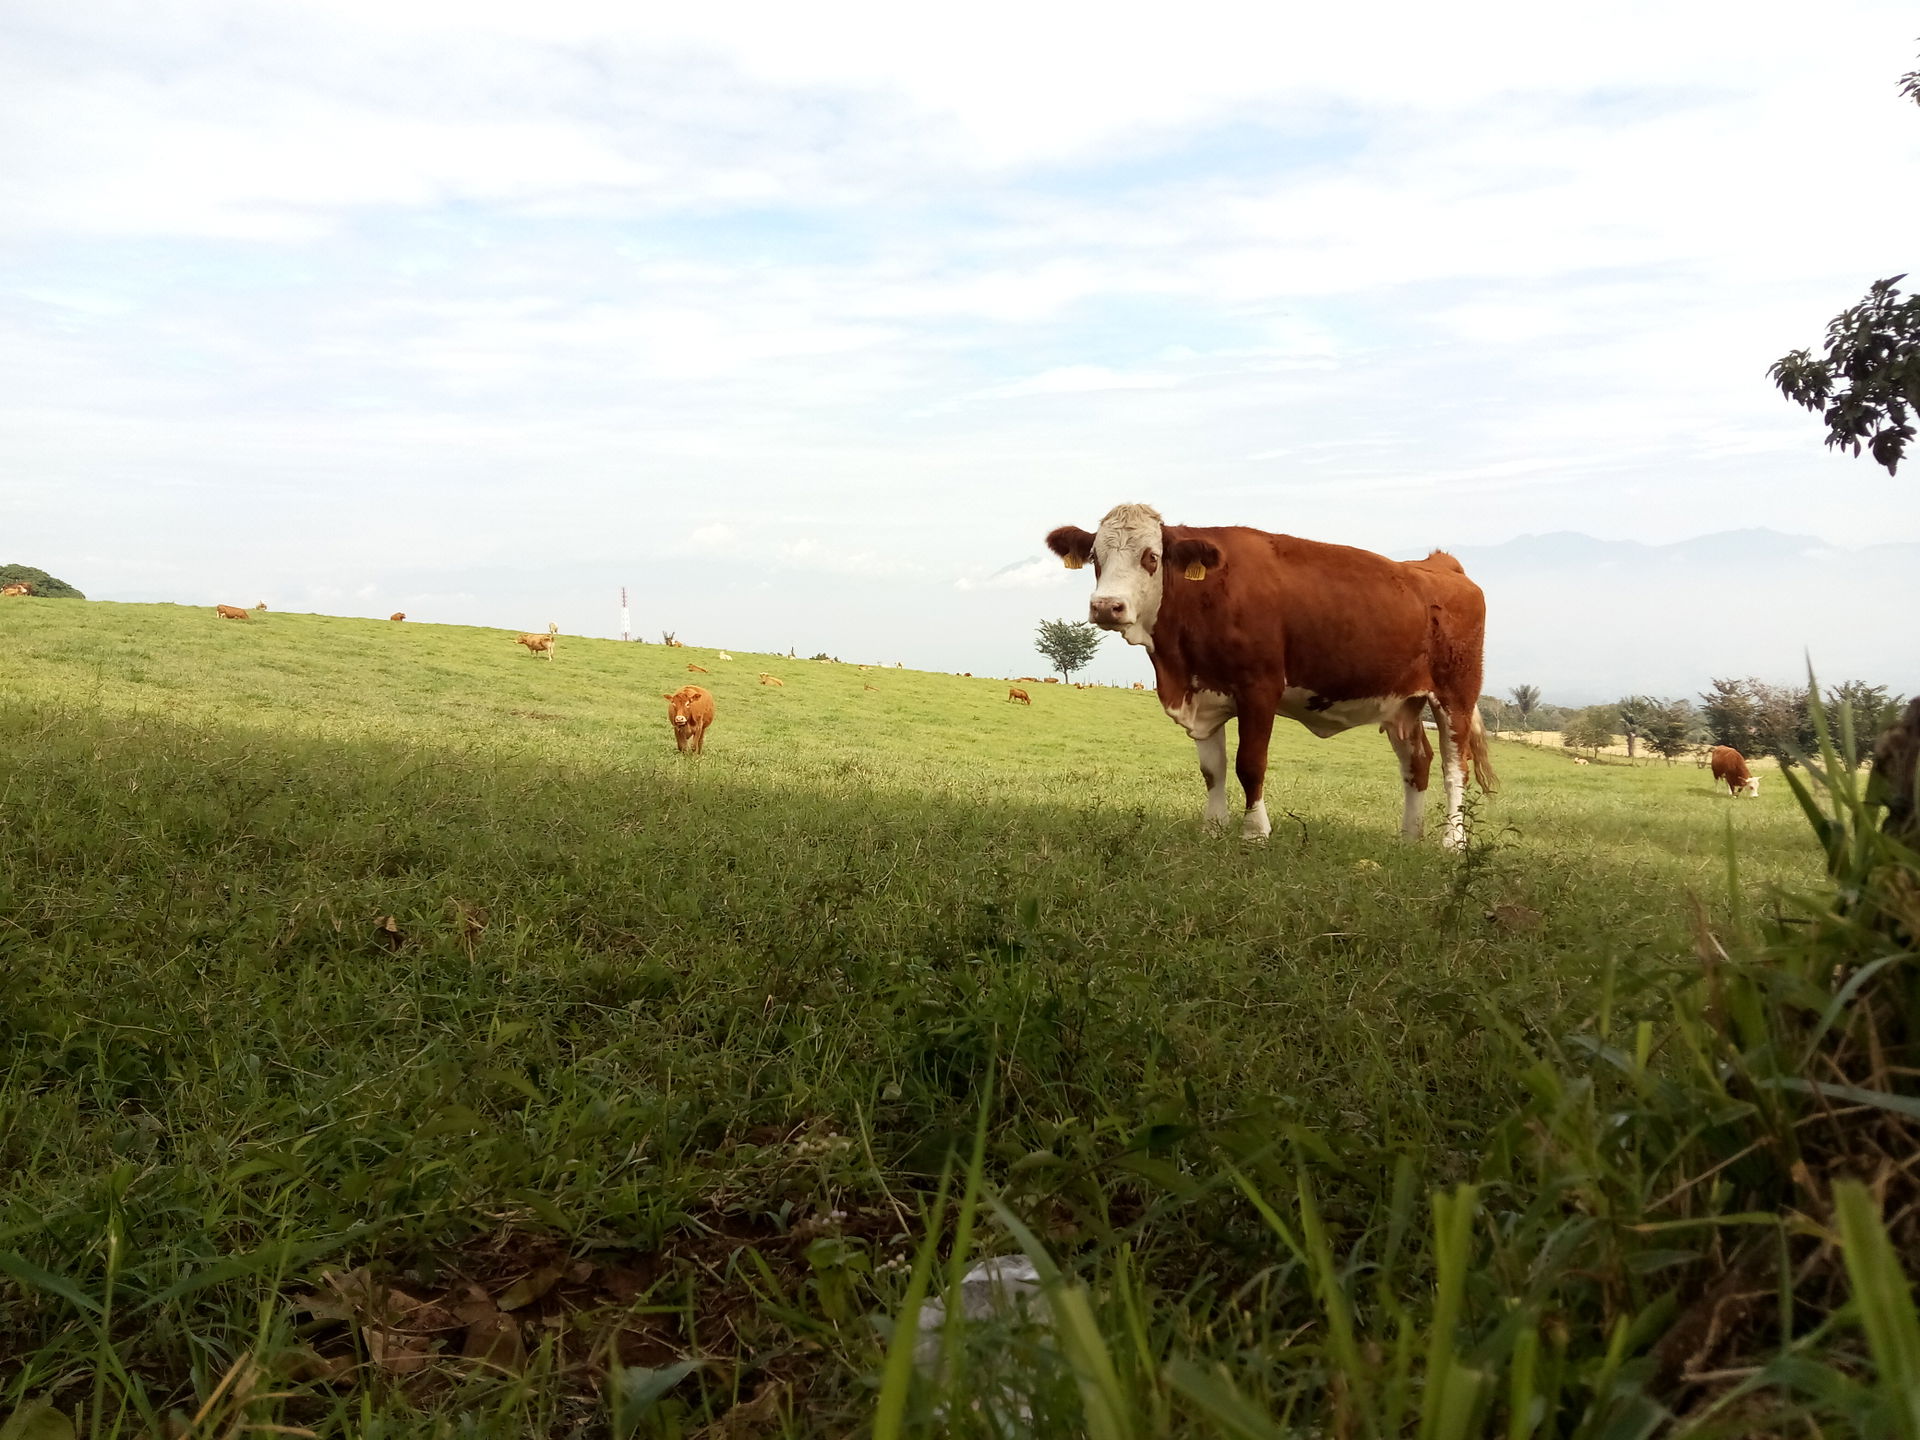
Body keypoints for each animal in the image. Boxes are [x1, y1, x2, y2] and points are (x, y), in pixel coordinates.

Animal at [1046, 503, 1497, 848]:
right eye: (1096, 558)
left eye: (1150, 557)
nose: (1106, 606)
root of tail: (1441, 564)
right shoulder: (1203, 694)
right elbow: (1213, 770)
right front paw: (1212, 829)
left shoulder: (1259, 688)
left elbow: (1250, 764)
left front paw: (1254, 832)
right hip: (1403, 703)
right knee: (1417, 763)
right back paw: (1408, 838)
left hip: (1456, 696)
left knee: (1454, 768)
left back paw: (1452, 842)